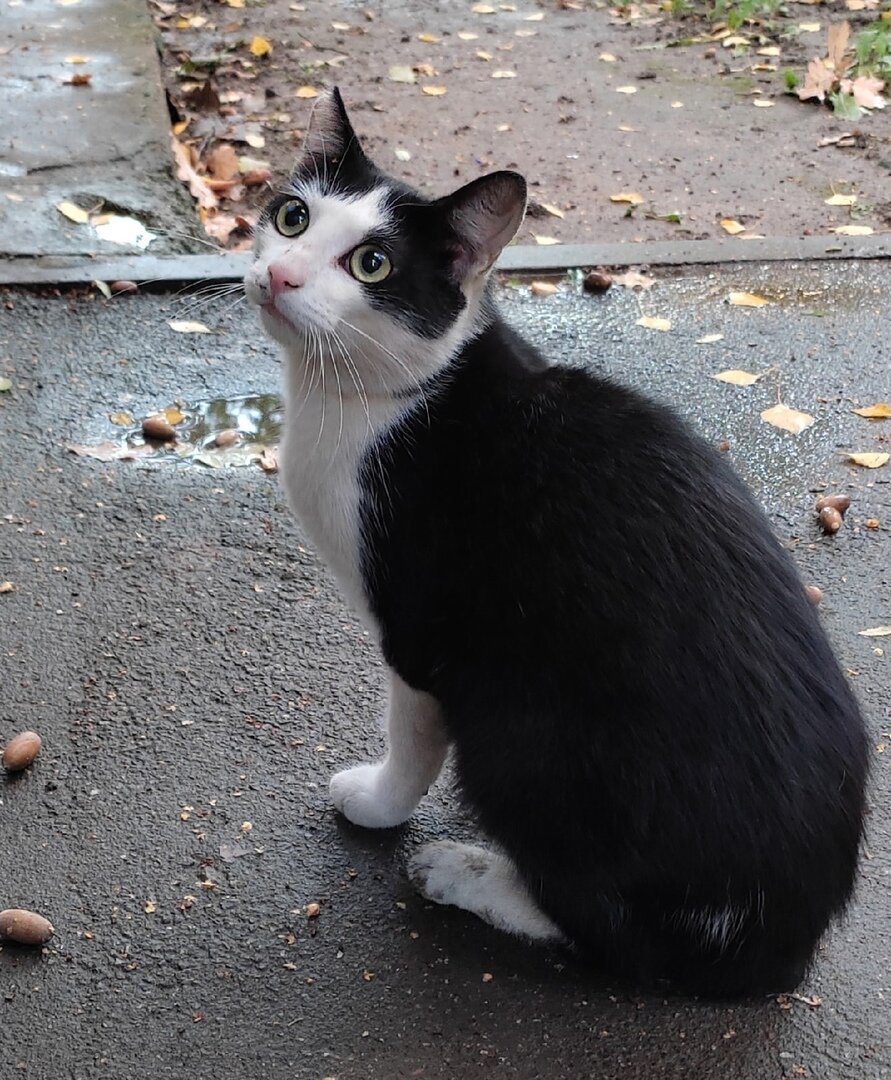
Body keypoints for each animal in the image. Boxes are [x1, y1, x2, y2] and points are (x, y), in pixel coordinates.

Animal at [239, 88, 864, 997]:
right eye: (292, 217)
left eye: (372, 266)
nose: (279, 274)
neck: (382, 397)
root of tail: (778, 942)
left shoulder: (420, 630)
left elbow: (412, 742)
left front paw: (381, 804)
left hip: (518, 726)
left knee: (612, 935)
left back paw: (463, 873)